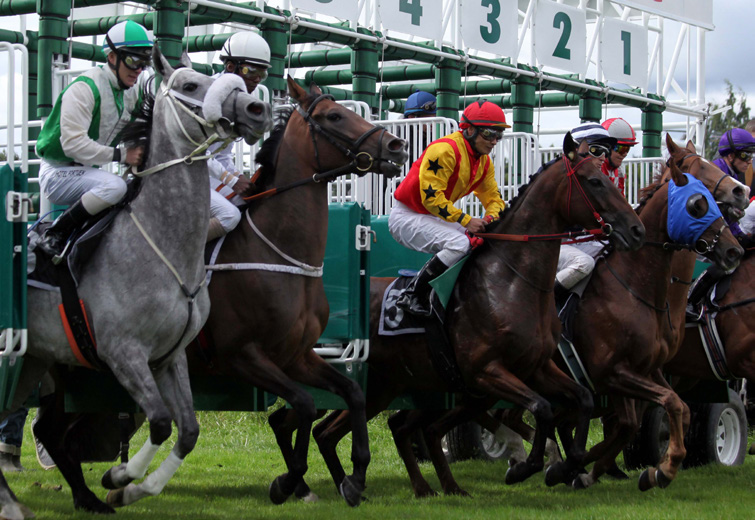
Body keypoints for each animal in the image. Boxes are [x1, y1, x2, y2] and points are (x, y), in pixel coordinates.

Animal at [0, 45, 272, 520]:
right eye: (190, 85)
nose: (256, 109)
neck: (166, 249)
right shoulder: (122, 352)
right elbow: (161, 422)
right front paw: (119, 477)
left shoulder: (170, 356)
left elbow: (188, 430)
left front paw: (129, 489)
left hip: (35, 360)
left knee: (41, 426)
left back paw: (82, 499)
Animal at [192, 77, 410, 508]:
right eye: (334, 116)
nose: (397, 145)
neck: (275, 252)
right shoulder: (241, 354)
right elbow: (306, 405)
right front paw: (288, 481)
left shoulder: (295, 354)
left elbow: (350, 393)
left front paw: (354, 477)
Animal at [294, 135, 644, 500]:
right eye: (594, 181)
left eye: (609, 178)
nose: (636, 230)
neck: (511, 281)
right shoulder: (486, 371)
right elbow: (542, 409)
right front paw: (525, 467)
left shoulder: (536, 366)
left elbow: (583, 400)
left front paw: (567, 466)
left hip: (384, 385)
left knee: (331, 431)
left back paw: (373, 486)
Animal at [560, 157, 744, 492]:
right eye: (697, 204)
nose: (733, 250)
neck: (634, 287)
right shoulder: (613, 371)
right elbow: (662, 408)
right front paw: (660, 468)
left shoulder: (647, 368)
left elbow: (666, 412)